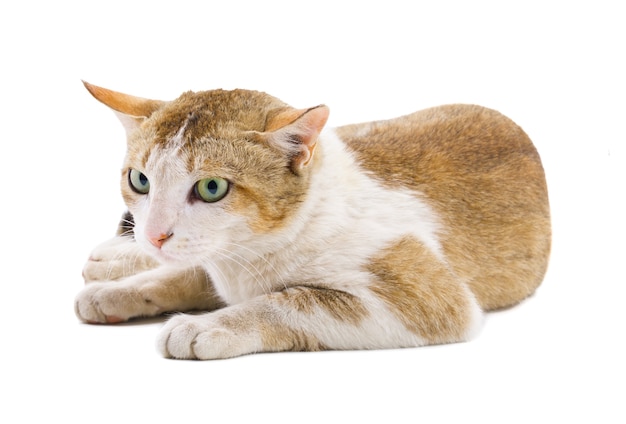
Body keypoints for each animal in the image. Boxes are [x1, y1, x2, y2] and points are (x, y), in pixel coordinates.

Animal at [75, 81, 548, 360]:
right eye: (140, 180)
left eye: (211, 188)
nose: (154, 234)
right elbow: (184, 273)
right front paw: (119, 290)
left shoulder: (427, 299)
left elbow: (289, 300)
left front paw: (206, 324)